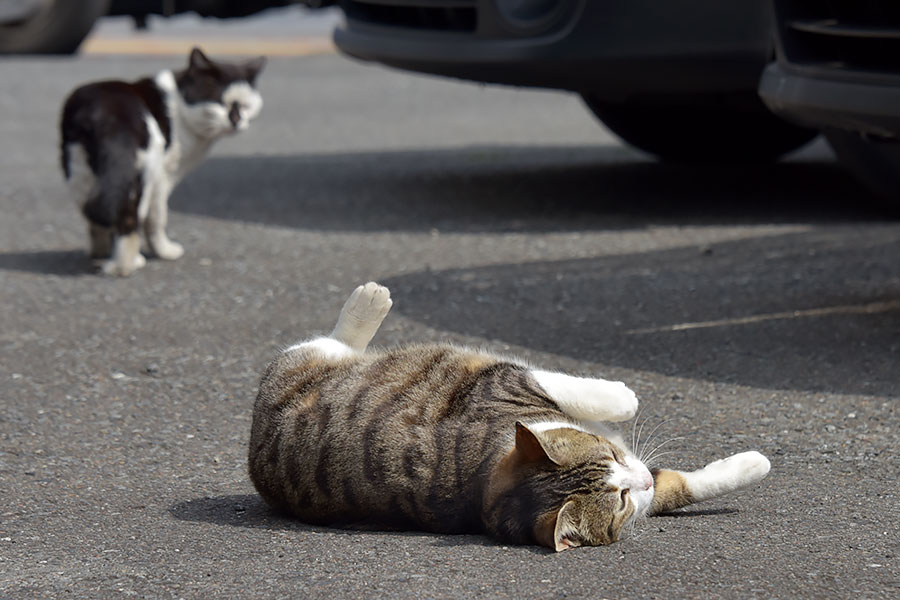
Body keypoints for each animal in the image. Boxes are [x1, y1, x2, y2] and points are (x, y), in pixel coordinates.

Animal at [59, 47, 264, 276]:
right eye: (219, 101)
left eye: (245, 106)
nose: (236, 120)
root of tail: (103, 114)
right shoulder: (164, 176)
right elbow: (157, 219)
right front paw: (165, 252)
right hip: (146, 170)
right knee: (129, 217)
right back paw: (128, 264)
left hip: (78, 170)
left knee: (95, 214)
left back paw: (101, 254)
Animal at [250, 284, 768, 552]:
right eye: (619, 500)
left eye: (613, 454)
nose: (637, 479)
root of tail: (256, 449)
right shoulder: (504, 383)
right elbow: (604, 401)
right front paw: (624, 395)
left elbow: (684, 484)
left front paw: (749, 465)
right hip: (304, 362)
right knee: (332, 340)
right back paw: (369, 301)